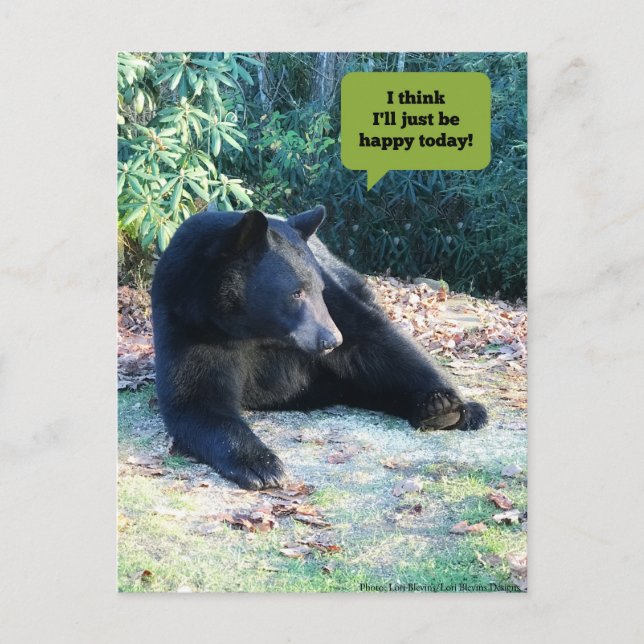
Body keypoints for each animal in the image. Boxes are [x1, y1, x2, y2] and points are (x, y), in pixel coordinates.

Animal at [151, 205, 487, 490]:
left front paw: (448, 402)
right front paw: (262, 464)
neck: (251, 329)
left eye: (318, 290)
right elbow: (195, 396)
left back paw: (445, 410)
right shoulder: (187, 322)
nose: (331, 339)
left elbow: (377, 342)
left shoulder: (335, 303)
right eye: (295, 293)